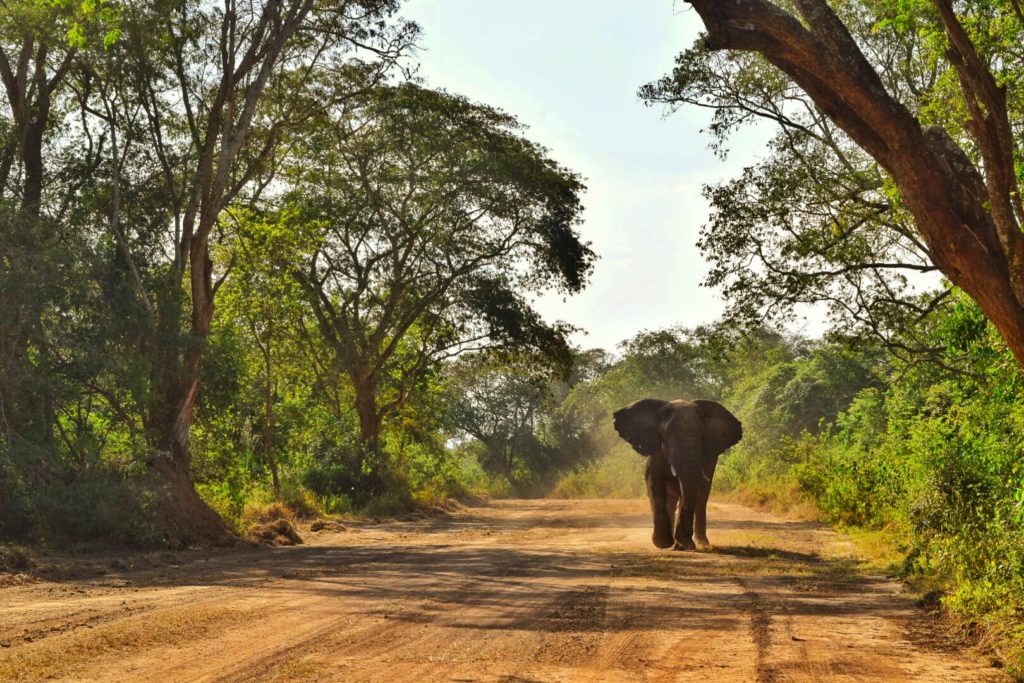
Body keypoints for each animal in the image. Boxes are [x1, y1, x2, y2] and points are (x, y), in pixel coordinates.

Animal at [610, 401, 741, 548]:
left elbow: (692, 489)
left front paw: (683, 545)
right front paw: (663, 543)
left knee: (701, 499)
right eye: (666, 435)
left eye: (701, 436)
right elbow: (654, 483)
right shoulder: (655, 452)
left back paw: (701, 543)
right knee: (672, 501)